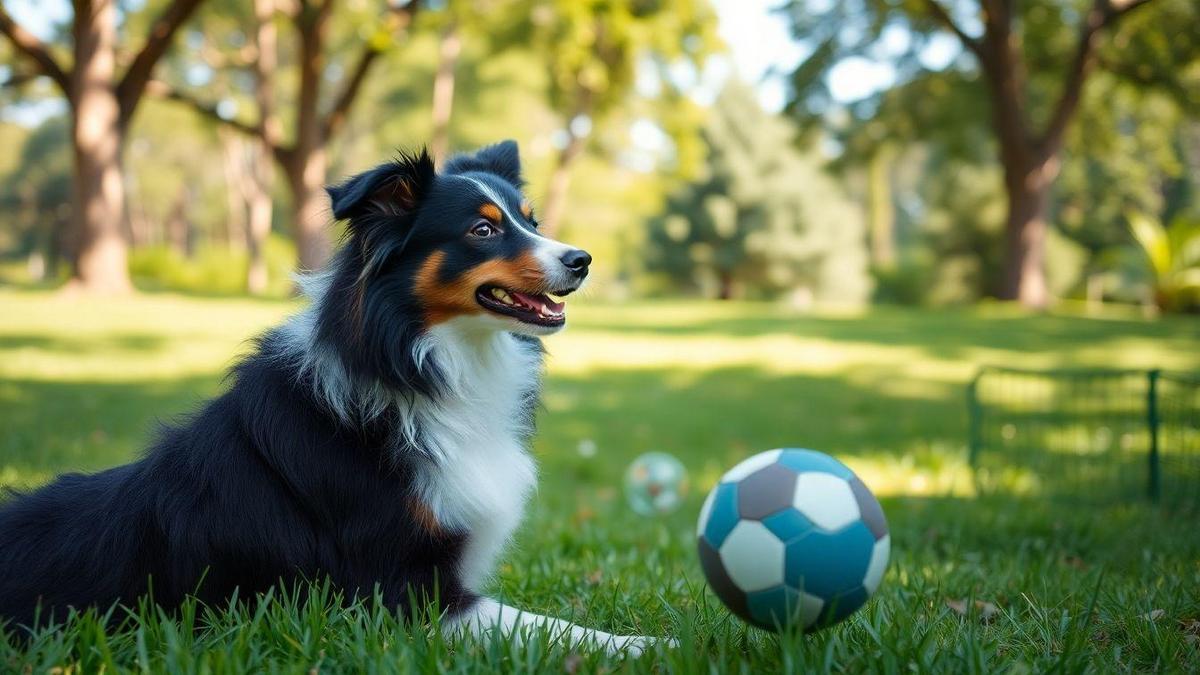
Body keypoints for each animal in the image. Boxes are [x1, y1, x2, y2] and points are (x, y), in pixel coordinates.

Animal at [0, 140, 662, 653]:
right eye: (482, 229)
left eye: (532, 222)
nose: (582, 260)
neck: (416, 362)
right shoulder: (400, 593)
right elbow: (554, 627)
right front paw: (648, 644)